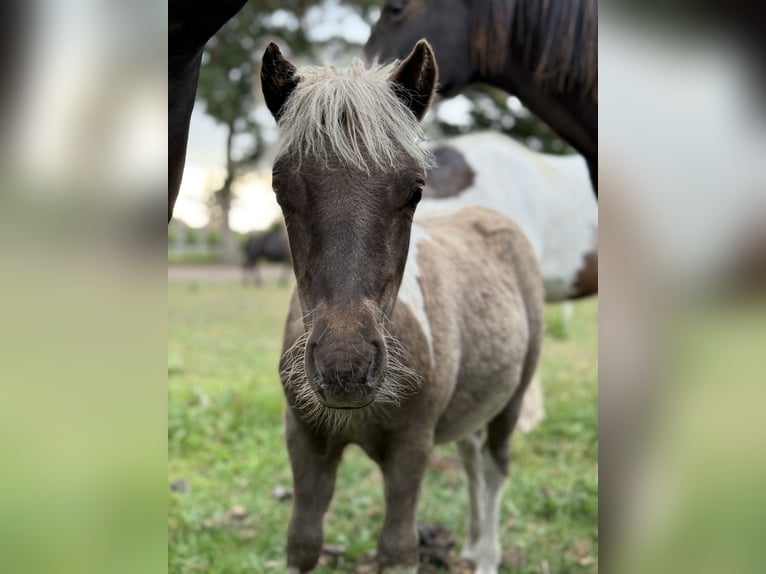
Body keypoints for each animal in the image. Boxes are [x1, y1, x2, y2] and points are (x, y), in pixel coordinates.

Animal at [262, 40, 544, 574]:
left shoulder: (412, 448)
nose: (345, 367)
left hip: (513, 397)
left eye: (415, 190)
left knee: (494, 468)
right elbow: (302, 540)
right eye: (279, 189)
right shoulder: (304, 440)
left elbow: (397, 546)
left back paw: (487, 554)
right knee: (472, 459)